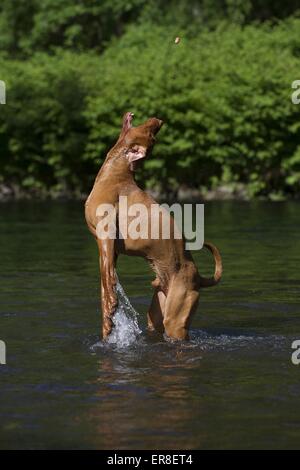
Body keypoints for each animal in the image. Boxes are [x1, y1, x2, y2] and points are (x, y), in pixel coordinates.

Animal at [85, 114, 221, 342]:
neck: (117, 173)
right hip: (157, 312)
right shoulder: (108, 249)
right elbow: (106, 282)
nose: (159, 120)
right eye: (152, 134)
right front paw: (108, 320)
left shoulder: (106, 236)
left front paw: (111, 306)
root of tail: (198, 278)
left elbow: (107, 277)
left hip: (176, 319)